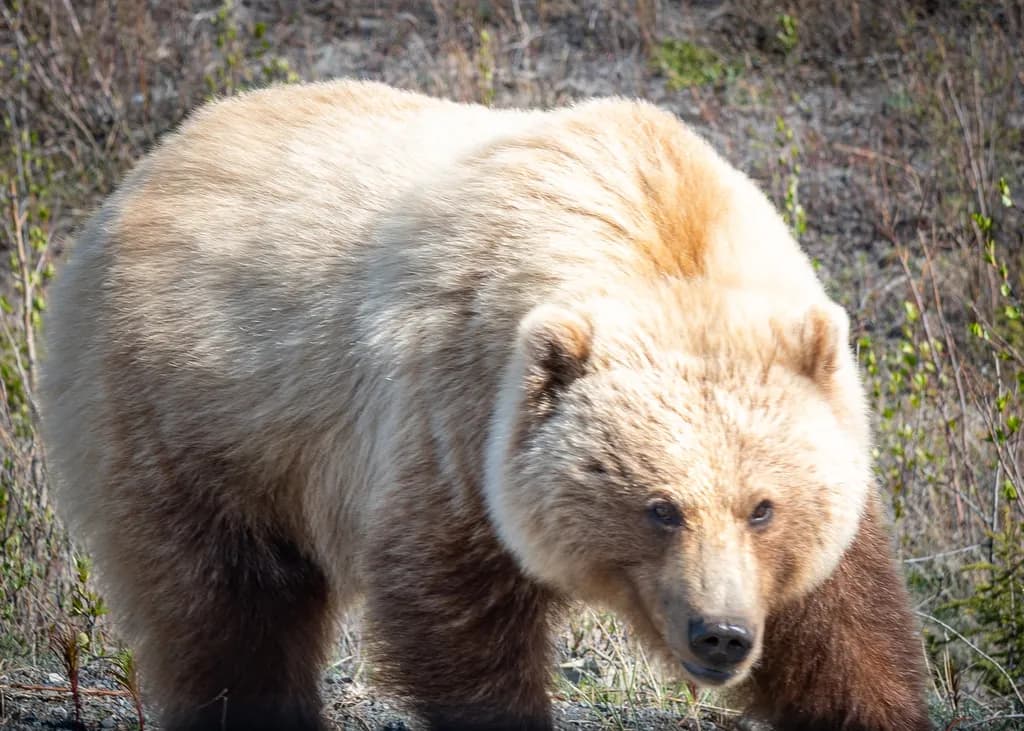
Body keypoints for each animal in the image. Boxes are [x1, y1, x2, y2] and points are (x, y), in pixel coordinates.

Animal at [39, 80, 931, 731]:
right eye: (660, 507)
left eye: (763, 507)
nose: (720, 632)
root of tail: (158, 159)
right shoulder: (452, 430)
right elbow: (456, 624)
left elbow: (842, 635)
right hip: (189, 422)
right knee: (227, 616)